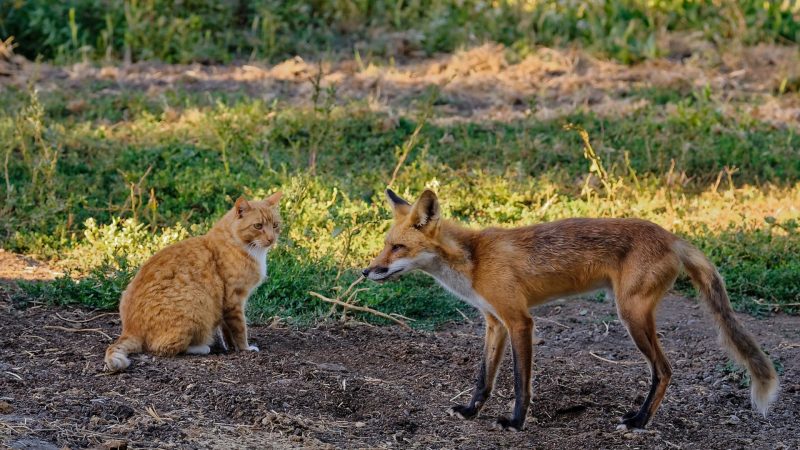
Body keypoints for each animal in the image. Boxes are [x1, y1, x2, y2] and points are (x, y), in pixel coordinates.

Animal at [104, 192, 282, 370]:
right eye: (258, 226)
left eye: (275, 225)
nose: (271, 239)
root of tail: (130, 329)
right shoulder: (234, 299)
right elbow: (239, 329)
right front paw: (245, 348)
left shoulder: (226, 304)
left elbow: (226, 329)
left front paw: (231, 347)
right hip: (197, 303)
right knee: (163, 348)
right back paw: (203, 347)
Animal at [366, 188, 780, 430]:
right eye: (385, 245)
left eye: (398, 248)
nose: (366, 271)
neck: (474, 261)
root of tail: (672, 236)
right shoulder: (494, 322)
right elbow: (483, 377)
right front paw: (470, 412)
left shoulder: (520, 321)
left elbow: (520, 382)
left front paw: (516, 423)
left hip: (631, 317)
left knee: (664, 370)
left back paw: (639, 421)